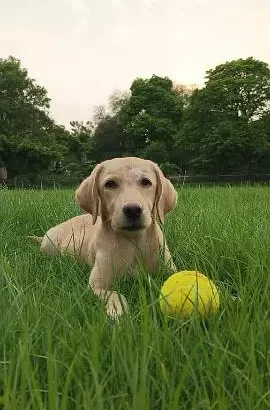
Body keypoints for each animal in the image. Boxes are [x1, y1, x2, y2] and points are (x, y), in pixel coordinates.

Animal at [31, 157, 177, 318]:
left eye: (146, 182)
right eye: (110, 184)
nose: (133, 210)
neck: (133, 241)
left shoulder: (169, 269)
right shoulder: (96, 285)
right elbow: (113, 293)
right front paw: (117, 308)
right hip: (50, 245)